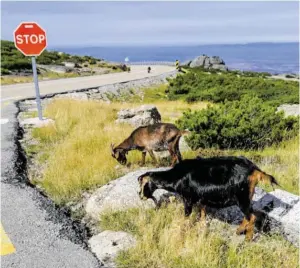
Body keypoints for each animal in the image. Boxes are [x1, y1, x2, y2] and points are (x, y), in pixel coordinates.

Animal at [138, 156, 278, 242]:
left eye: (143, 184)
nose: (140, 196)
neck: (176, 176)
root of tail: (254, 169)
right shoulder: (201, 198)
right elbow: (203, 213)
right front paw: (202, 226)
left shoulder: (188, 199)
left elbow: (186, 216)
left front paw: (181, 231)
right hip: (246, 198)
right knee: (249, 215)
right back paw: (239, 231)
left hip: (242, 197)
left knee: (251, 217)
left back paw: (247, 239)